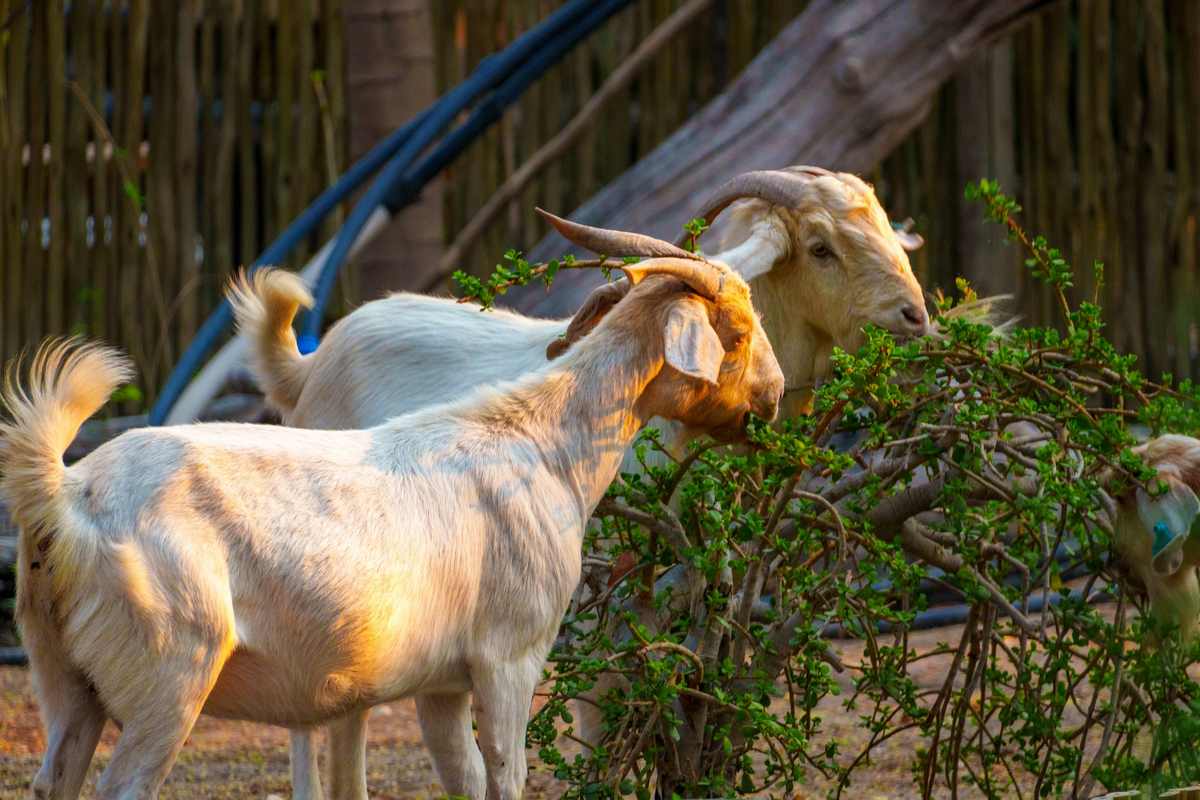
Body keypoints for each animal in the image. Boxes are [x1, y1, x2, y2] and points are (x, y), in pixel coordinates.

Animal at [1, 257, 783, 800]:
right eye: (738, 331)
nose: (773, 401)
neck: (542, 445)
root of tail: (68, 494)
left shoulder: (443, 682)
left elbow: (464, 780)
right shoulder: (510, 657)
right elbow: (506, 778)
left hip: (64, 679)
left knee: (55, 778)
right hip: (168, 673)